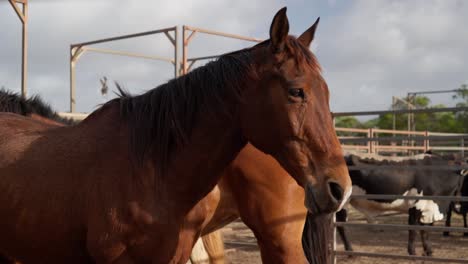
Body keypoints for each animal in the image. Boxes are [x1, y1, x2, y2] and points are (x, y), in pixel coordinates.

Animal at [336, 154, 464, 256]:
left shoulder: (428, 208)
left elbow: (425, 231)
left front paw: (428, 251)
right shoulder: (415, 206)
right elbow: (413, 230)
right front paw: (412, 252)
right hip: (343, 202)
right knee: (341, 225)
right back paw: (350, 251)